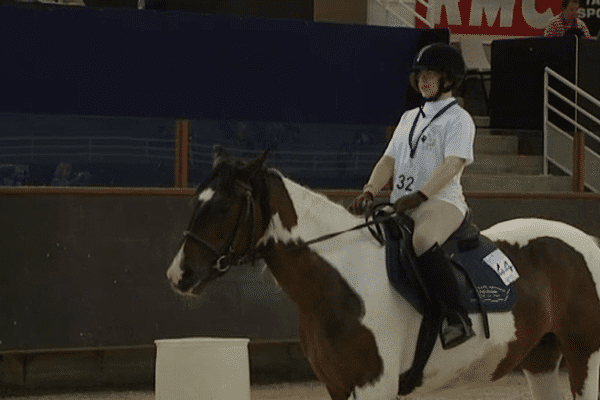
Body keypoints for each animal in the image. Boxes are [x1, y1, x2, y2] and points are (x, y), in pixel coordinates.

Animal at [165, 148, 600, 398]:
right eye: (196, 201)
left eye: (223, 207)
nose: (179, 274)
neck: (342, 282)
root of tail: (587, 242)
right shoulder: (338, 386)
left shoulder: (375, 386)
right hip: (540, 360)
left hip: (584, 355)